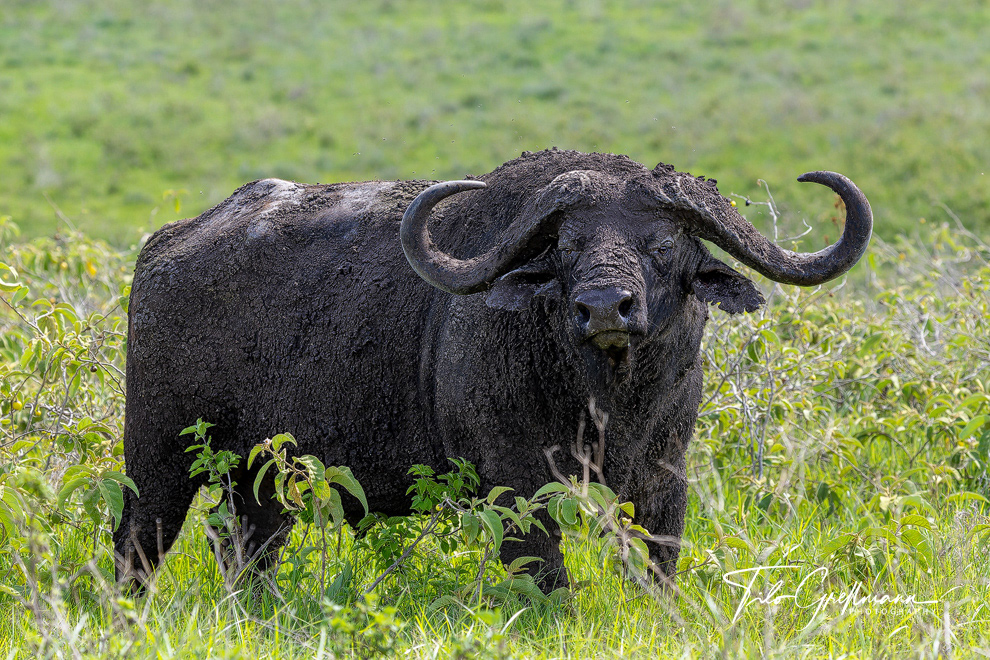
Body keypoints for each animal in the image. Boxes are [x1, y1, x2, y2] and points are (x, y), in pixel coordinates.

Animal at [116, 148, 871, 591]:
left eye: (663, 245)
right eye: (566, 245)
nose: (604, 306)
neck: (601, 401)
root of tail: (166, 249)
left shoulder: (663, 480)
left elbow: (656, 567)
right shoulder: (516, 486)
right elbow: (546, 576)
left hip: (262, 479)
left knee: (247, 548)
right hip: (157, 459)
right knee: (137, 544)